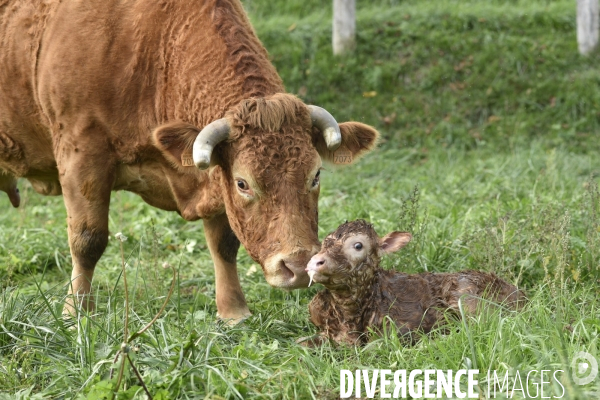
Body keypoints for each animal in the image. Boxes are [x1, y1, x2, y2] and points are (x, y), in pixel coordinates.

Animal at [0, 0, 380, 322]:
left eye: (315, 176)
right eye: (243, 183)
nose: (299, 266)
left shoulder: (212, 178)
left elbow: (223, 244)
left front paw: (233, 311)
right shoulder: (81, 153)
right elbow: (87, 240)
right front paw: (75, 313)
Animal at [304, 220, 524, 346]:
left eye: (358, 245)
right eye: (325, 242)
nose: (315, 261)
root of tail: (521, 295)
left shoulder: (397, 332)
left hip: (468, 297)